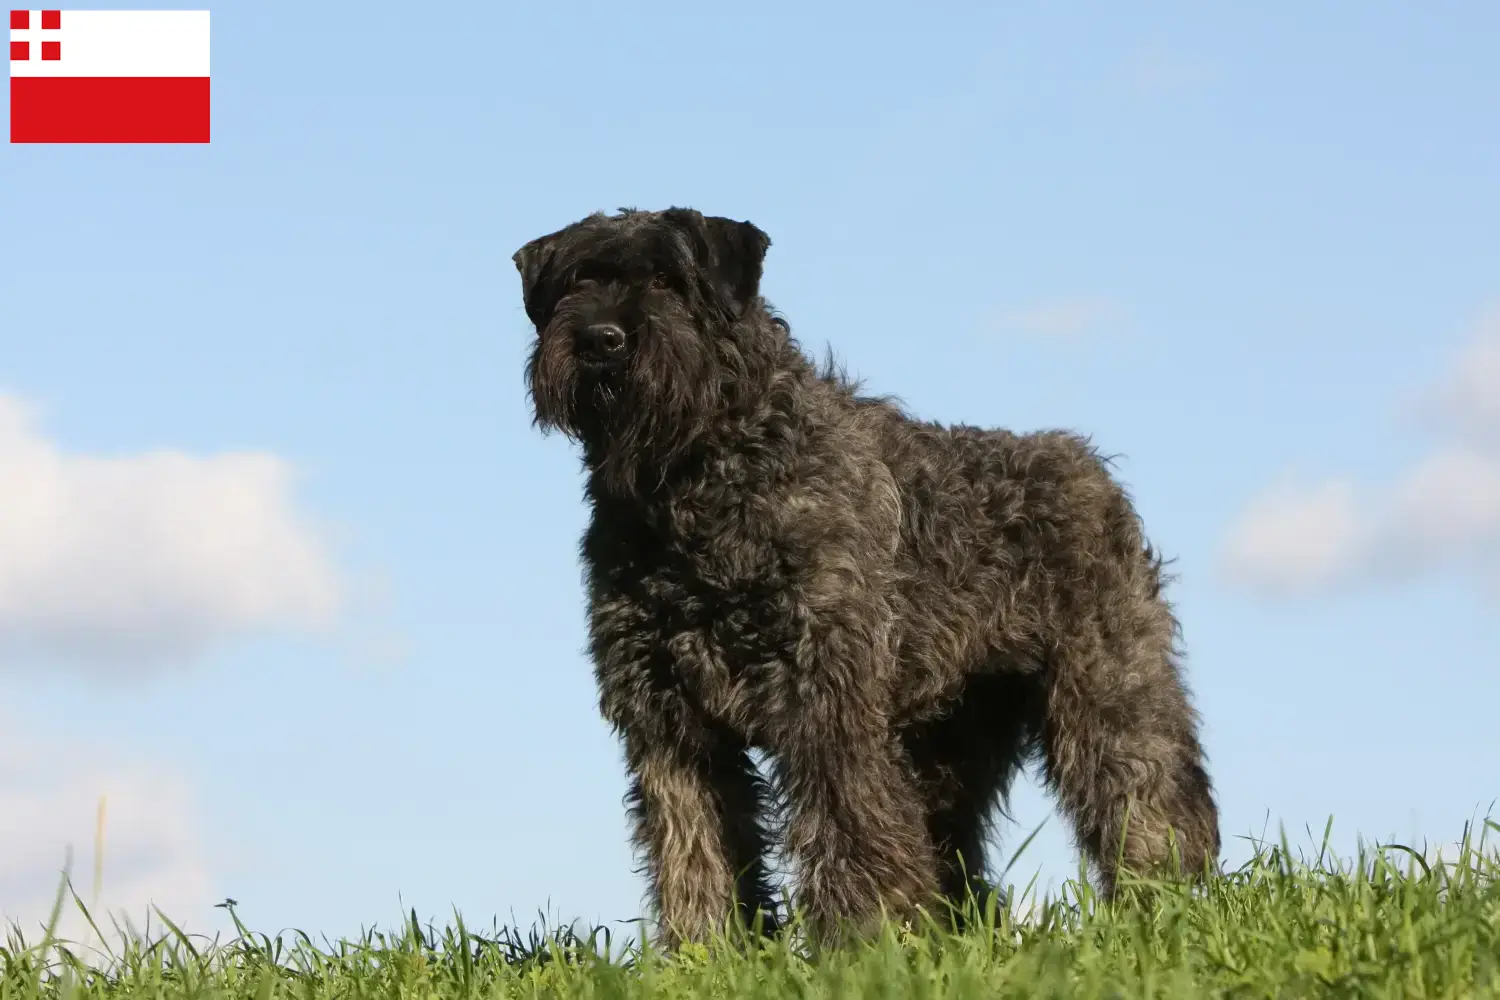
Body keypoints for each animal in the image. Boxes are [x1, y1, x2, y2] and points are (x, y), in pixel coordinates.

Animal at [513, 209, 1218, 947]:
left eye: (668, 281)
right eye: (577, 282)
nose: (601, 339)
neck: (699, 486)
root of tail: (1094, 471)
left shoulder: (828, 700)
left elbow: (848, 825)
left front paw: (863, 942)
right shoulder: (669, 719)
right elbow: (694, 844)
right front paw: (710, 948)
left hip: (1107, 696)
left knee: (1148, 798)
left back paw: (1164, 908)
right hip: (948, 743)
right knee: (952, 849)